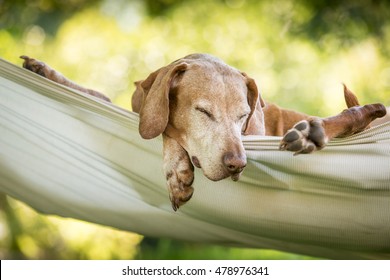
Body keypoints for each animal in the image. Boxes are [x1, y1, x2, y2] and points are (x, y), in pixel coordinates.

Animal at [21, 54, 386, 210]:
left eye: (243, 116)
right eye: (203, 112)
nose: (237, 164)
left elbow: (168, 134)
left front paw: (177, 169)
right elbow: (102, 97)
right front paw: (45, 71)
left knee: (355, 113)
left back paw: (316, 130)